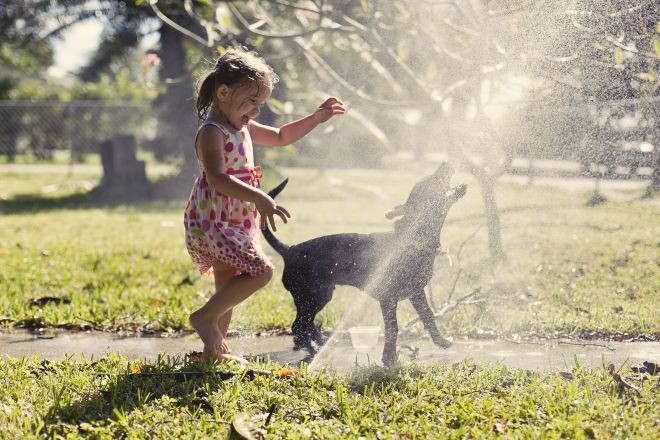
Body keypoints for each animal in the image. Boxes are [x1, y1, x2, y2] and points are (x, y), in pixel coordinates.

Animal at [260, 163, 466, 366]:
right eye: (430, 180)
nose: (446, 163)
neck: (415, 236)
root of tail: (289, 250)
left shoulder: (416, 293)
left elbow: (428, 316)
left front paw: (441, 341)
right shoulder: (388, 298)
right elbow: (393, 327)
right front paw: (389, 358)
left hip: (320, 296)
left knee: (307, 324)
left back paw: (319, 343)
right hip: (312, 296)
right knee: (299, 326)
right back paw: (312, 350)